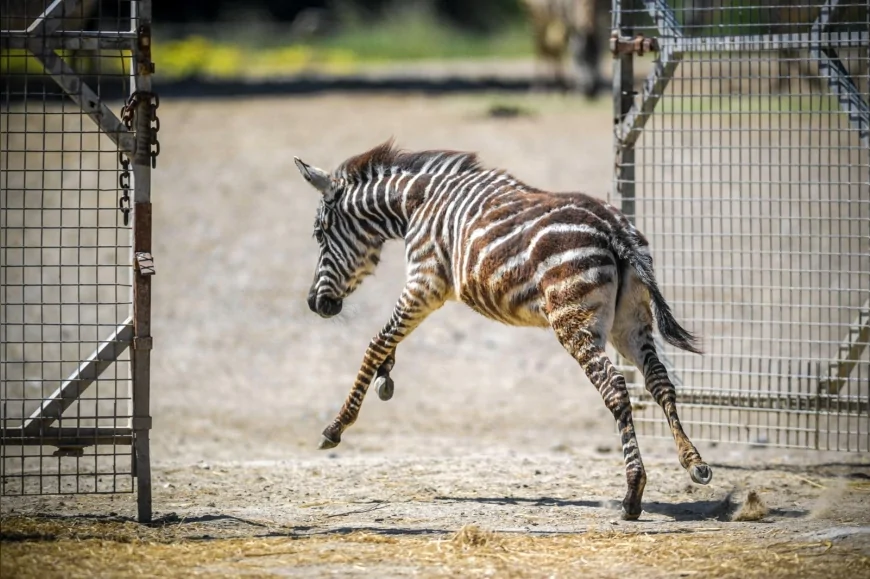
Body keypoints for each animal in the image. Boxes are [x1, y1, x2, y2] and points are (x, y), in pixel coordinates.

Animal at [294, 141, 712, 520]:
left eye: (319, 234)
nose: (316, 304)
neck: (415, 204)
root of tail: (615, 228)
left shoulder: (424, 283)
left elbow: (376, 341)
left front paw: (337, 426)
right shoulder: (423, 289)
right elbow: (389, 340)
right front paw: (386, 376)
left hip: (573, 319)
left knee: (615, 389)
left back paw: (632, 495)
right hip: (629, 322)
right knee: (660, 381)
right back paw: (693, 462)